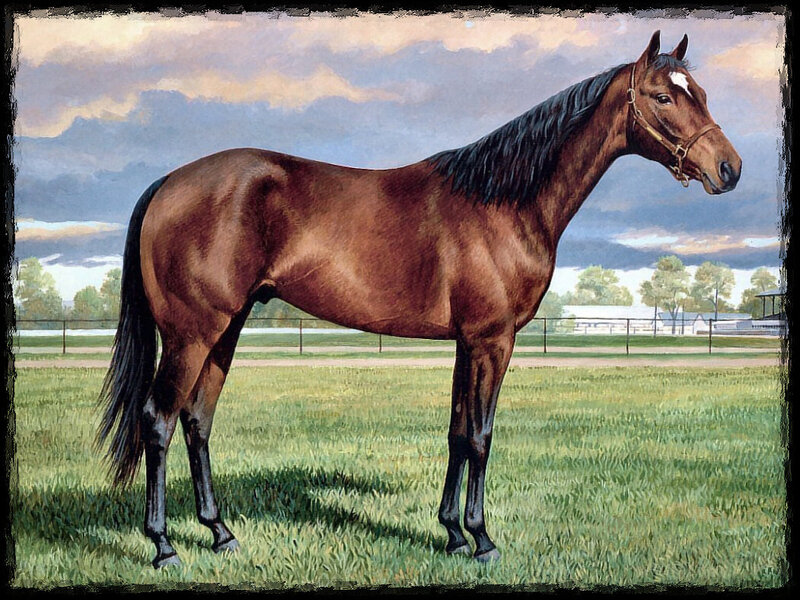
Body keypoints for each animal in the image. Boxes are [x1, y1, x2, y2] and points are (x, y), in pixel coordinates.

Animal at [97, 31, 741, 568]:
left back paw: (220, 533)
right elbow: (481, 436)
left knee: (197, 421)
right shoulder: (492, 340)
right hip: (191, 335)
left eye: (704, 93)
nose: (729, 169)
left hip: (223, 332)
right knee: (157, 421)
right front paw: (482, 540)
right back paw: (163, 546)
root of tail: (169, 184)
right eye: (662, 96)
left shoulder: (467, 343)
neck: (503, 201)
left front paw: (451, 533)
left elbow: (457, 432)